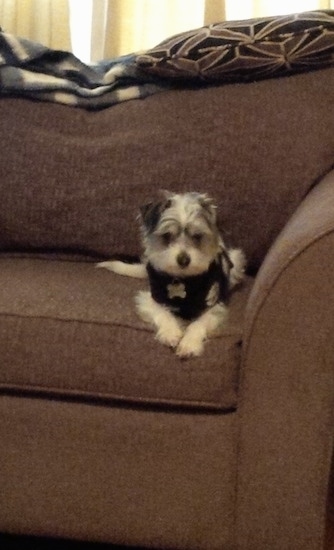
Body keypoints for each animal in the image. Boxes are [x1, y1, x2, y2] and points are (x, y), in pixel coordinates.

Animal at [97, 192, 245, 360]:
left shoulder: (214, 305)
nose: (184, 260)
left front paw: (189, 343)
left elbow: (199, 323)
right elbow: (162, 312)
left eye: (197, 236)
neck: (183, 279)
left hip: (235, 259)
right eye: (167, 235)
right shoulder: (150, 298)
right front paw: (171, 332)